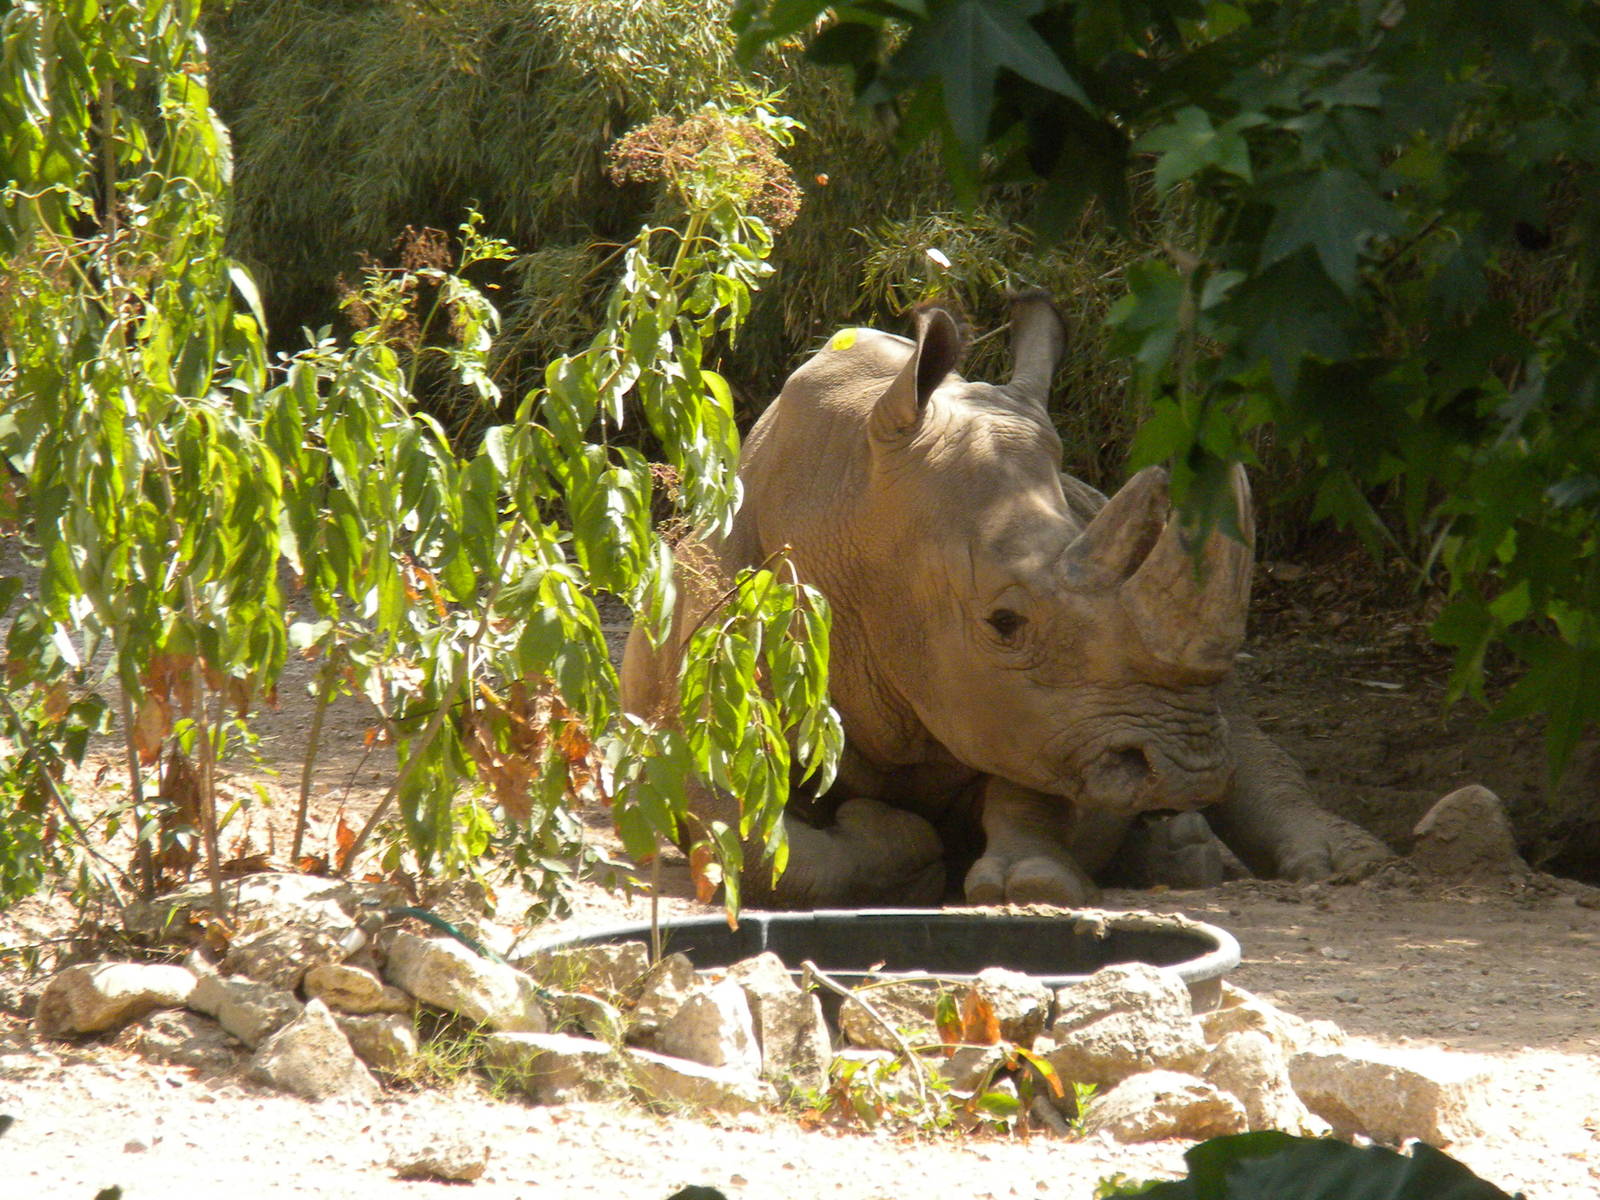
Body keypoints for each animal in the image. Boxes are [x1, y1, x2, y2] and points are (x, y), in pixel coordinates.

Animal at [622, 291, 1390, 907]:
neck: (844, 508)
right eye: (1005, 621)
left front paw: (1032, 882)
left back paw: (1326, 864)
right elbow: (751, 840)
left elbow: (1035, 770)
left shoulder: (1050, 710)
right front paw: (901, 846)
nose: (1186, 772)